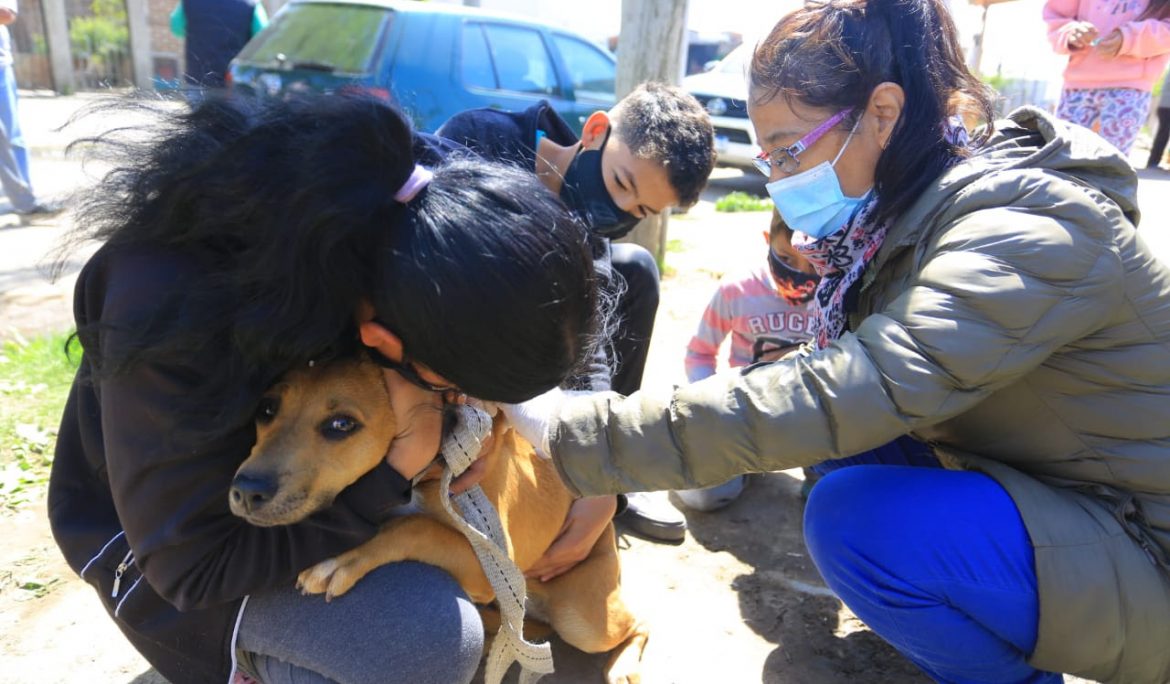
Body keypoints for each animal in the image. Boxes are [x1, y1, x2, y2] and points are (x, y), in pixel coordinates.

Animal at [228, 355, 650, 678]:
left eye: (342, 424)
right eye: (266, 409)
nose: (246, 491)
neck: (433, 469)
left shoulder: (494, 562)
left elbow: (416, 525)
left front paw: (341, 560)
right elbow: (413, 521)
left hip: (584, 621)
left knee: (638, 623)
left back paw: (622, 668)